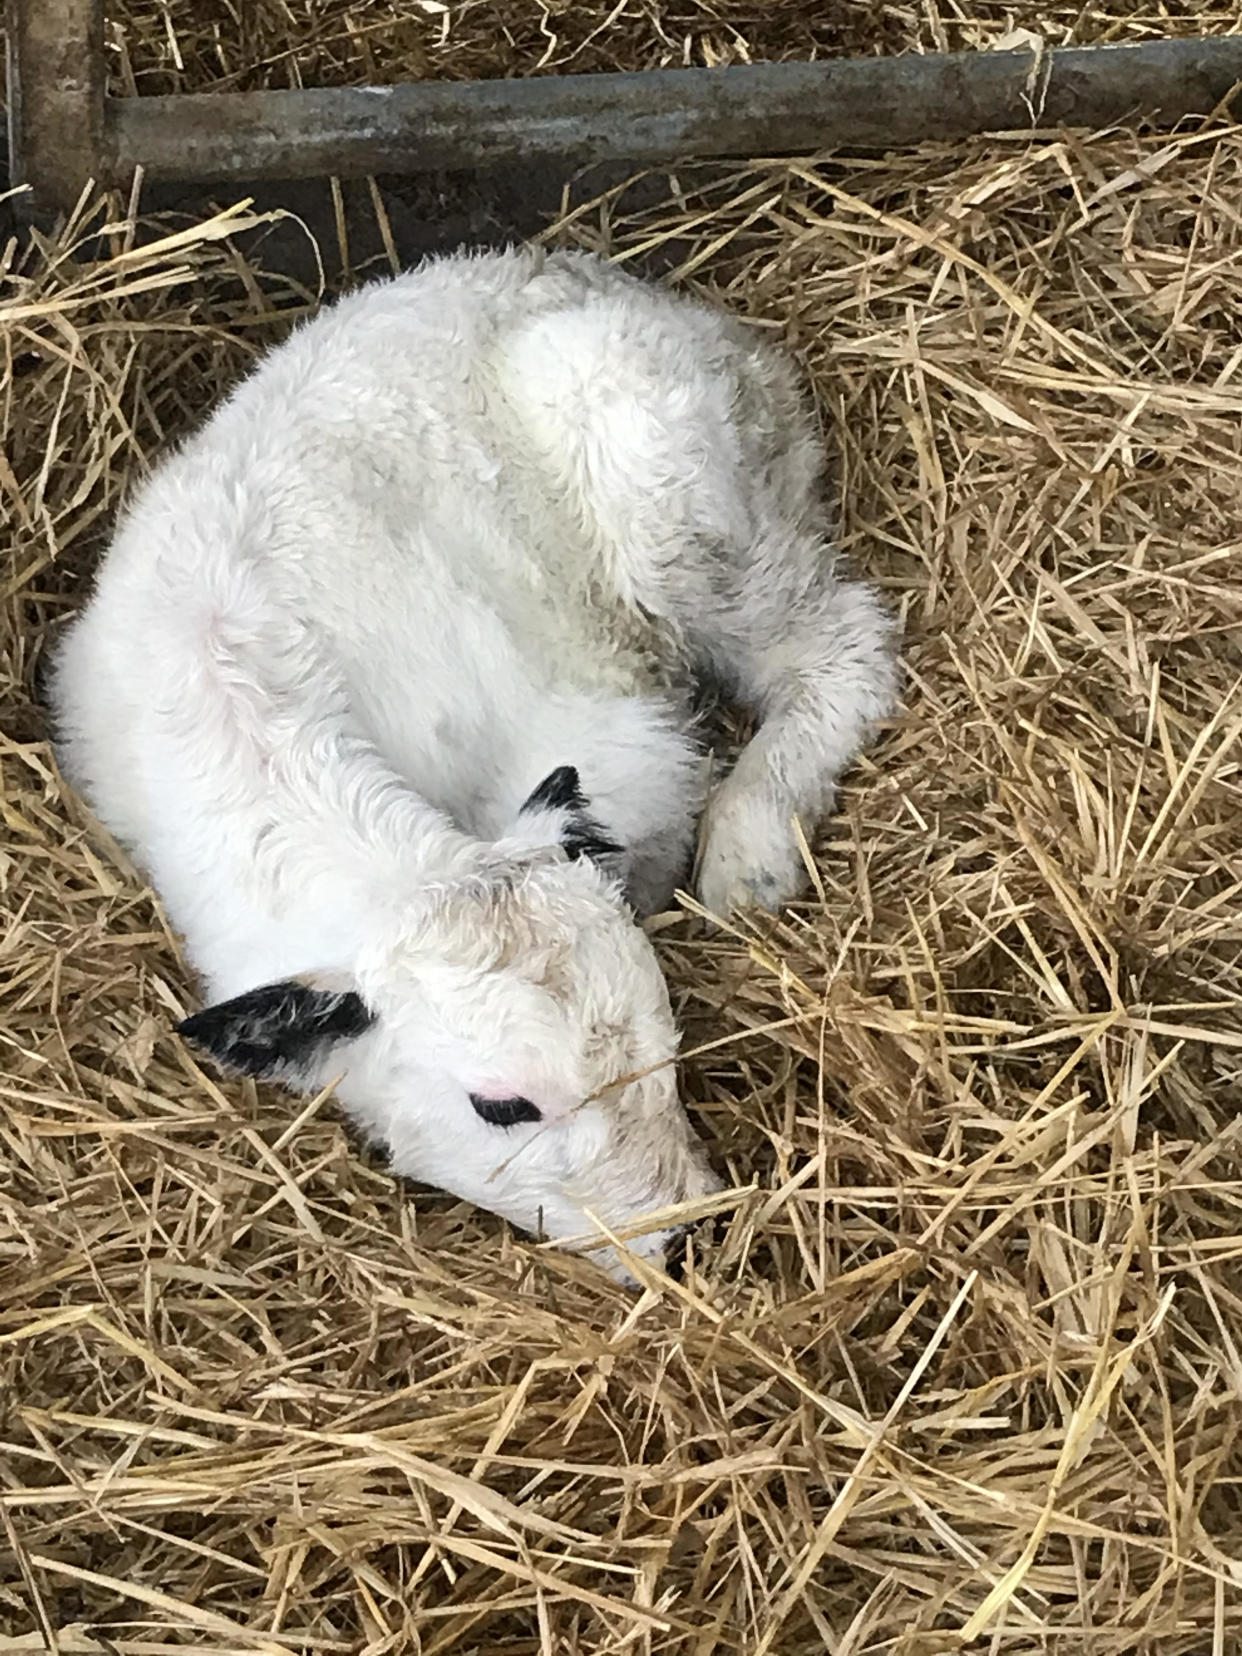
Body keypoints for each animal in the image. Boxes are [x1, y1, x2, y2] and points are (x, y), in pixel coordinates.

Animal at [53, 248, 900, 1278]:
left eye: (663, 1032)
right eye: (501, 1106)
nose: (687, 1233)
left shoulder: (619, 749)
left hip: (684, 511)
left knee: (842, 644)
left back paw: (752, 851)